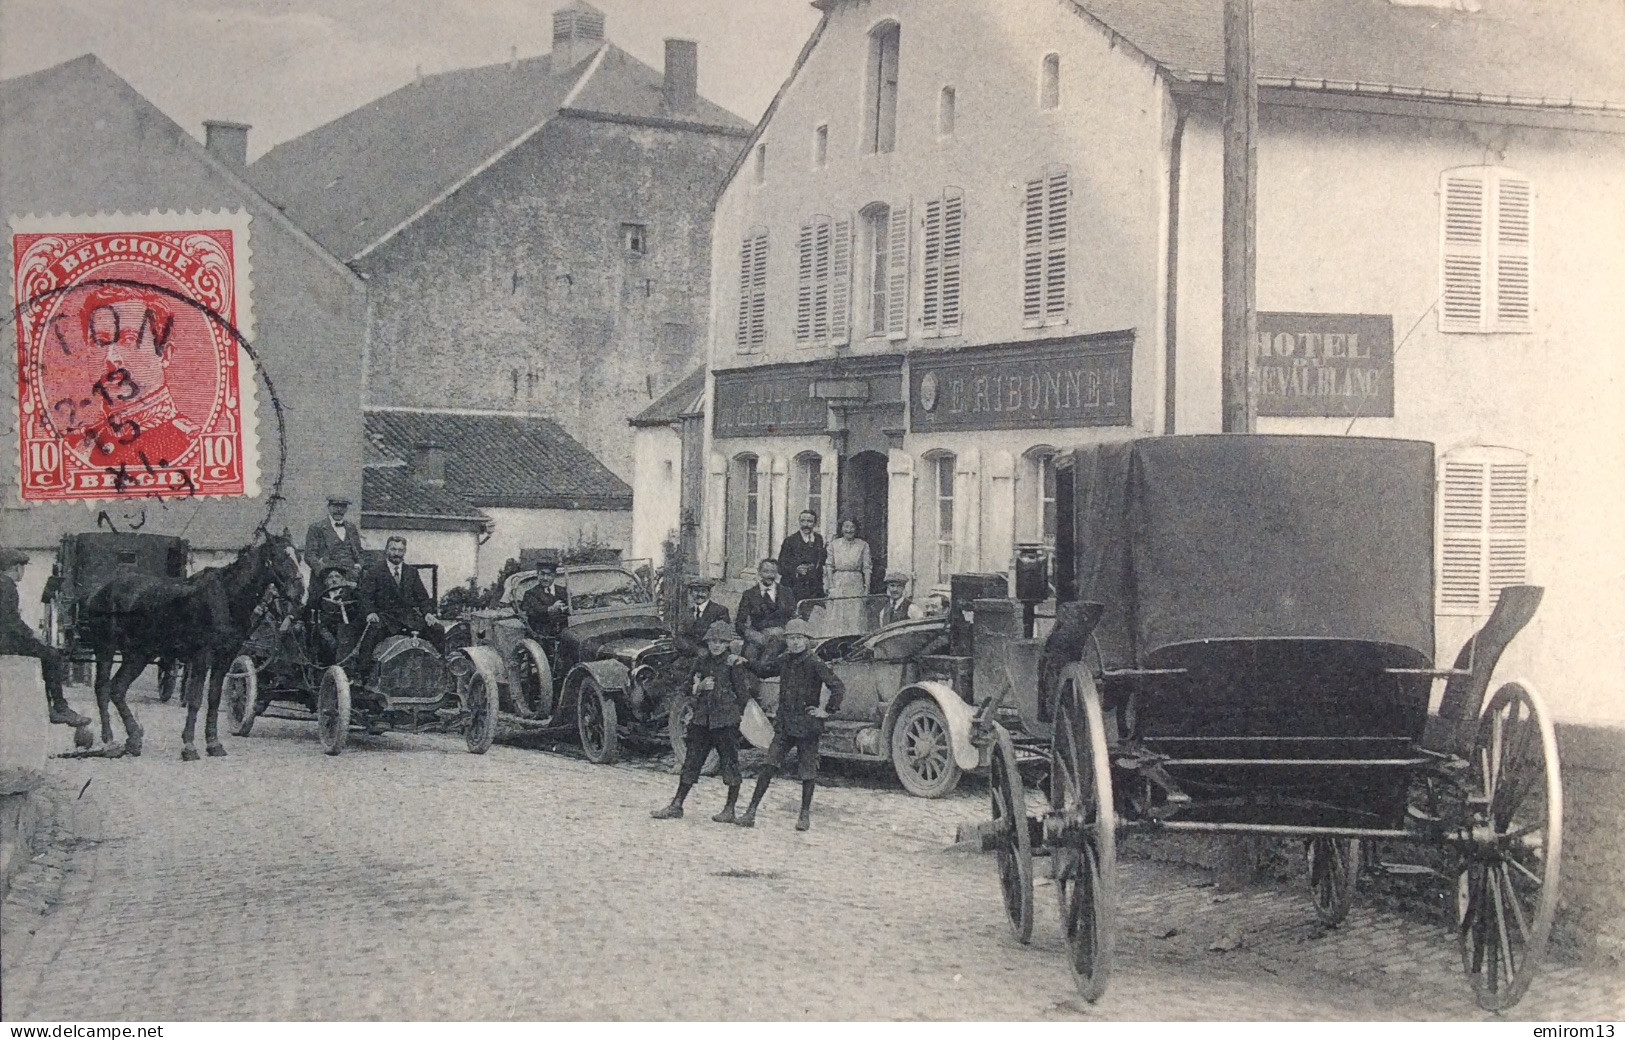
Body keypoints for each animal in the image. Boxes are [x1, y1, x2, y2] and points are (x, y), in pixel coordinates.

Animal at [80, 533, 305, 760]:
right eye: (278, 556)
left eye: (298, 556)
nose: (300, 593)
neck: (227, 597)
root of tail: (99, 592)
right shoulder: (201, 657)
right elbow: (195, 699)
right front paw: (189, 746)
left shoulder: (224, 659)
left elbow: (213, 698)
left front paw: (214, 744)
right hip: (106, 648)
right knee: (103, 688)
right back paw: (110, 741)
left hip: (137, 655)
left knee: (118, 689)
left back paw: (134, 740)